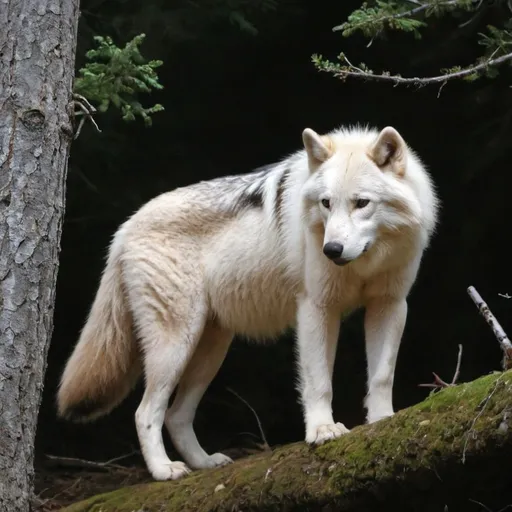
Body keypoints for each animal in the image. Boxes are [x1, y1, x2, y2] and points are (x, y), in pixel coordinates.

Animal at [57, 123, 440, 480]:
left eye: (362, 203)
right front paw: (321, 430)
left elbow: (381, 376)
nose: (331, 250)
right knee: (145, 412)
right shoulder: (316, 308)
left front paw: (382, 420)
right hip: (176, 345)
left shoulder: (390, 305)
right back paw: (165, 470)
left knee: (176, 416)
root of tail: (124, 228)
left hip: (210, 350)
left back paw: (204, 463)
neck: (366, 262)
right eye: (326, 203)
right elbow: (319, 381)